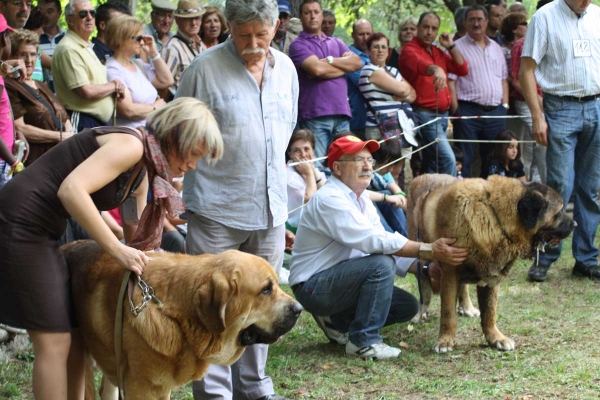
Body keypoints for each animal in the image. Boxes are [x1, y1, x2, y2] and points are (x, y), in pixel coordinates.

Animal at [408, 175, 572, 354]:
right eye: (560, 211)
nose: (575, 225)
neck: (493, 218)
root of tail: (419, 177)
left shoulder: (491, 277)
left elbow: (489, 312)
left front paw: (496, 338)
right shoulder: (450, 273)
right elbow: (448, 312)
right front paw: (445, 341)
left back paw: (467, 307)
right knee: (424, 284)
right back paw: (422, 311)